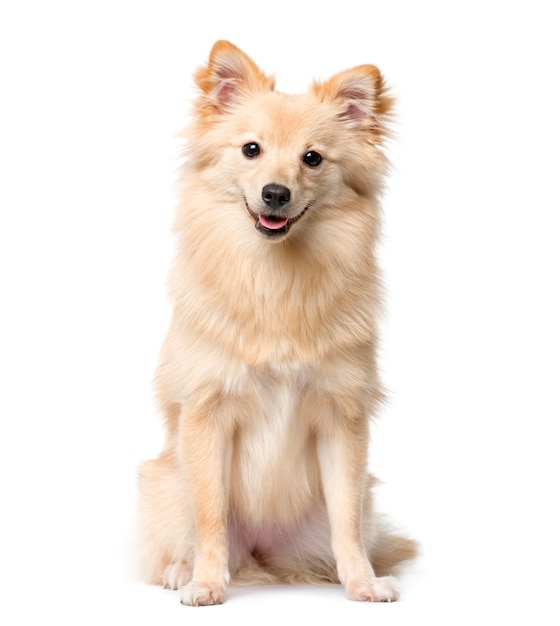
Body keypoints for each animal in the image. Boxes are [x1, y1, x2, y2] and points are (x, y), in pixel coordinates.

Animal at [135, 40, 416, 604]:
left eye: (312, 158)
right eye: (251, 150)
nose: (275, 193)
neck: (276, 279)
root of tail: (262, 552)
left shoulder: (342, 420)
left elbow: (346, 517)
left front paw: (361, 583)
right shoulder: (206, 415)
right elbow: (210, 515)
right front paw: (205, 583)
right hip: (165, 482)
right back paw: (182, 569)